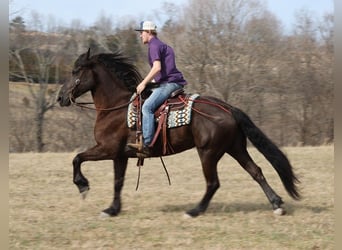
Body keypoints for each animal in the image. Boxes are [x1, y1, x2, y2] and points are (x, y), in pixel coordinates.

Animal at [56, 48, 300, 217]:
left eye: (75, 71)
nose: (60, 98)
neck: (115, 107)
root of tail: (228, 108)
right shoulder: (120, 155)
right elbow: (118, 182)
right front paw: (112, 209)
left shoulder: (107, 149)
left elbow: (77, 158)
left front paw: (82, 185)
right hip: (235, 148)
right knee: (256, 171)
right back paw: (277, 204)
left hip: (208, 152)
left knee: (213, 183)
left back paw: (194, 211)